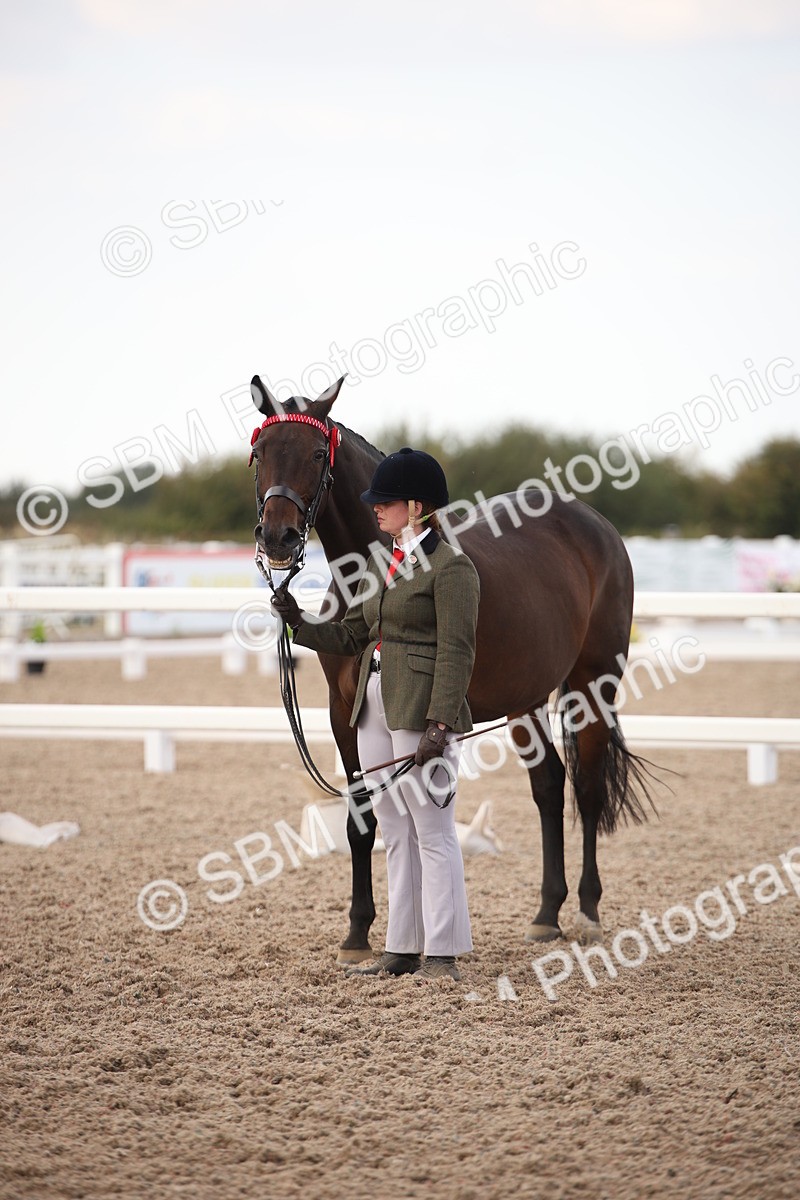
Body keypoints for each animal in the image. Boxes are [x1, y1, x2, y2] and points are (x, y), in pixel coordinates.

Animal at [249, 374, 654, 965]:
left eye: (316, 454)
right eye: (260, 454)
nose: (277, 539)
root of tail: (596, 525)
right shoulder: (343, 709)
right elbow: (360, 818)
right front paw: (358, 935)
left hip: (592, 685)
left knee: (587, 789)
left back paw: (587, 913)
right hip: (526, 699)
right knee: (549, 785)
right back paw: (545, 915)